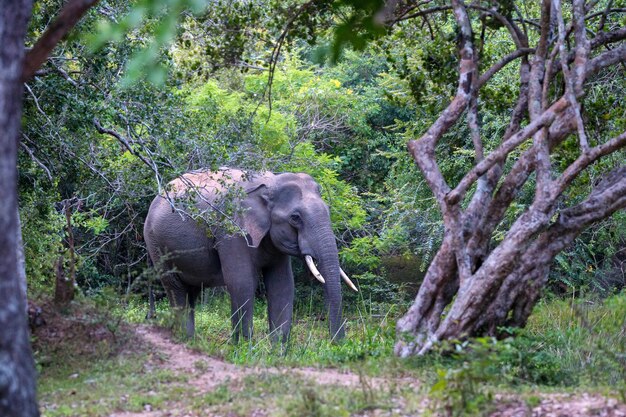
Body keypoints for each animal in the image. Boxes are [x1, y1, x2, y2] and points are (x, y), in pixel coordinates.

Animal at [143, 166, 356, 342]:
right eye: (295, 218)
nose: (337, 344)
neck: (269, 184)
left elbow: (282, 285)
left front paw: (277, 352)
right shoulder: (231, 230)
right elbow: (241, 282)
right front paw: (243, 347)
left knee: (191, 292)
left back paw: (189, 340)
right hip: (156, 244)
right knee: (176, 289)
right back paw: (182, 338)